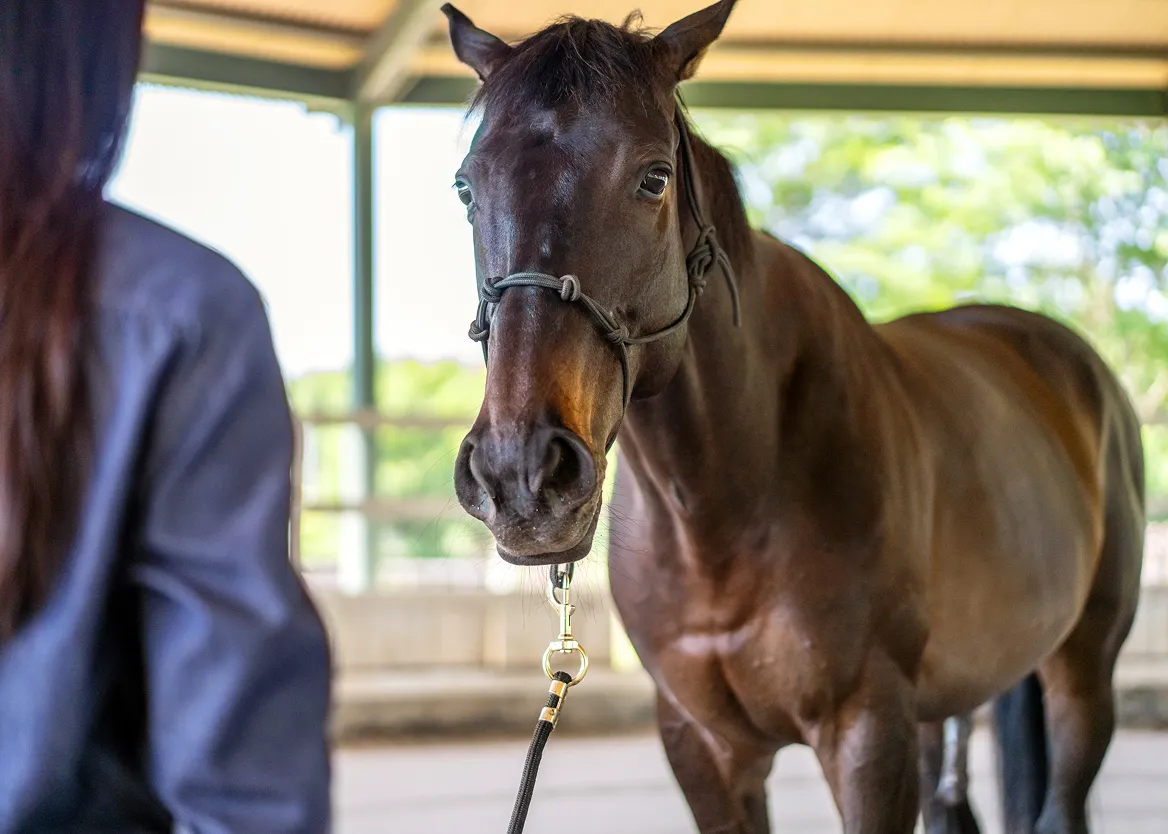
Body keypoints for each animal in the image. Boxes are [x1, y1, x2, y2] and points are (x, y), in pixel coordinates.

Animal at [439, 2, 1146, 832]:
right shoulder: (705, 746)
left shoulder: (868, 733)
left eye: (654, 177)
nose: (521, 474)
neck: (730, 503)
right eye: (465, 188)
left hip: (1081, 674)